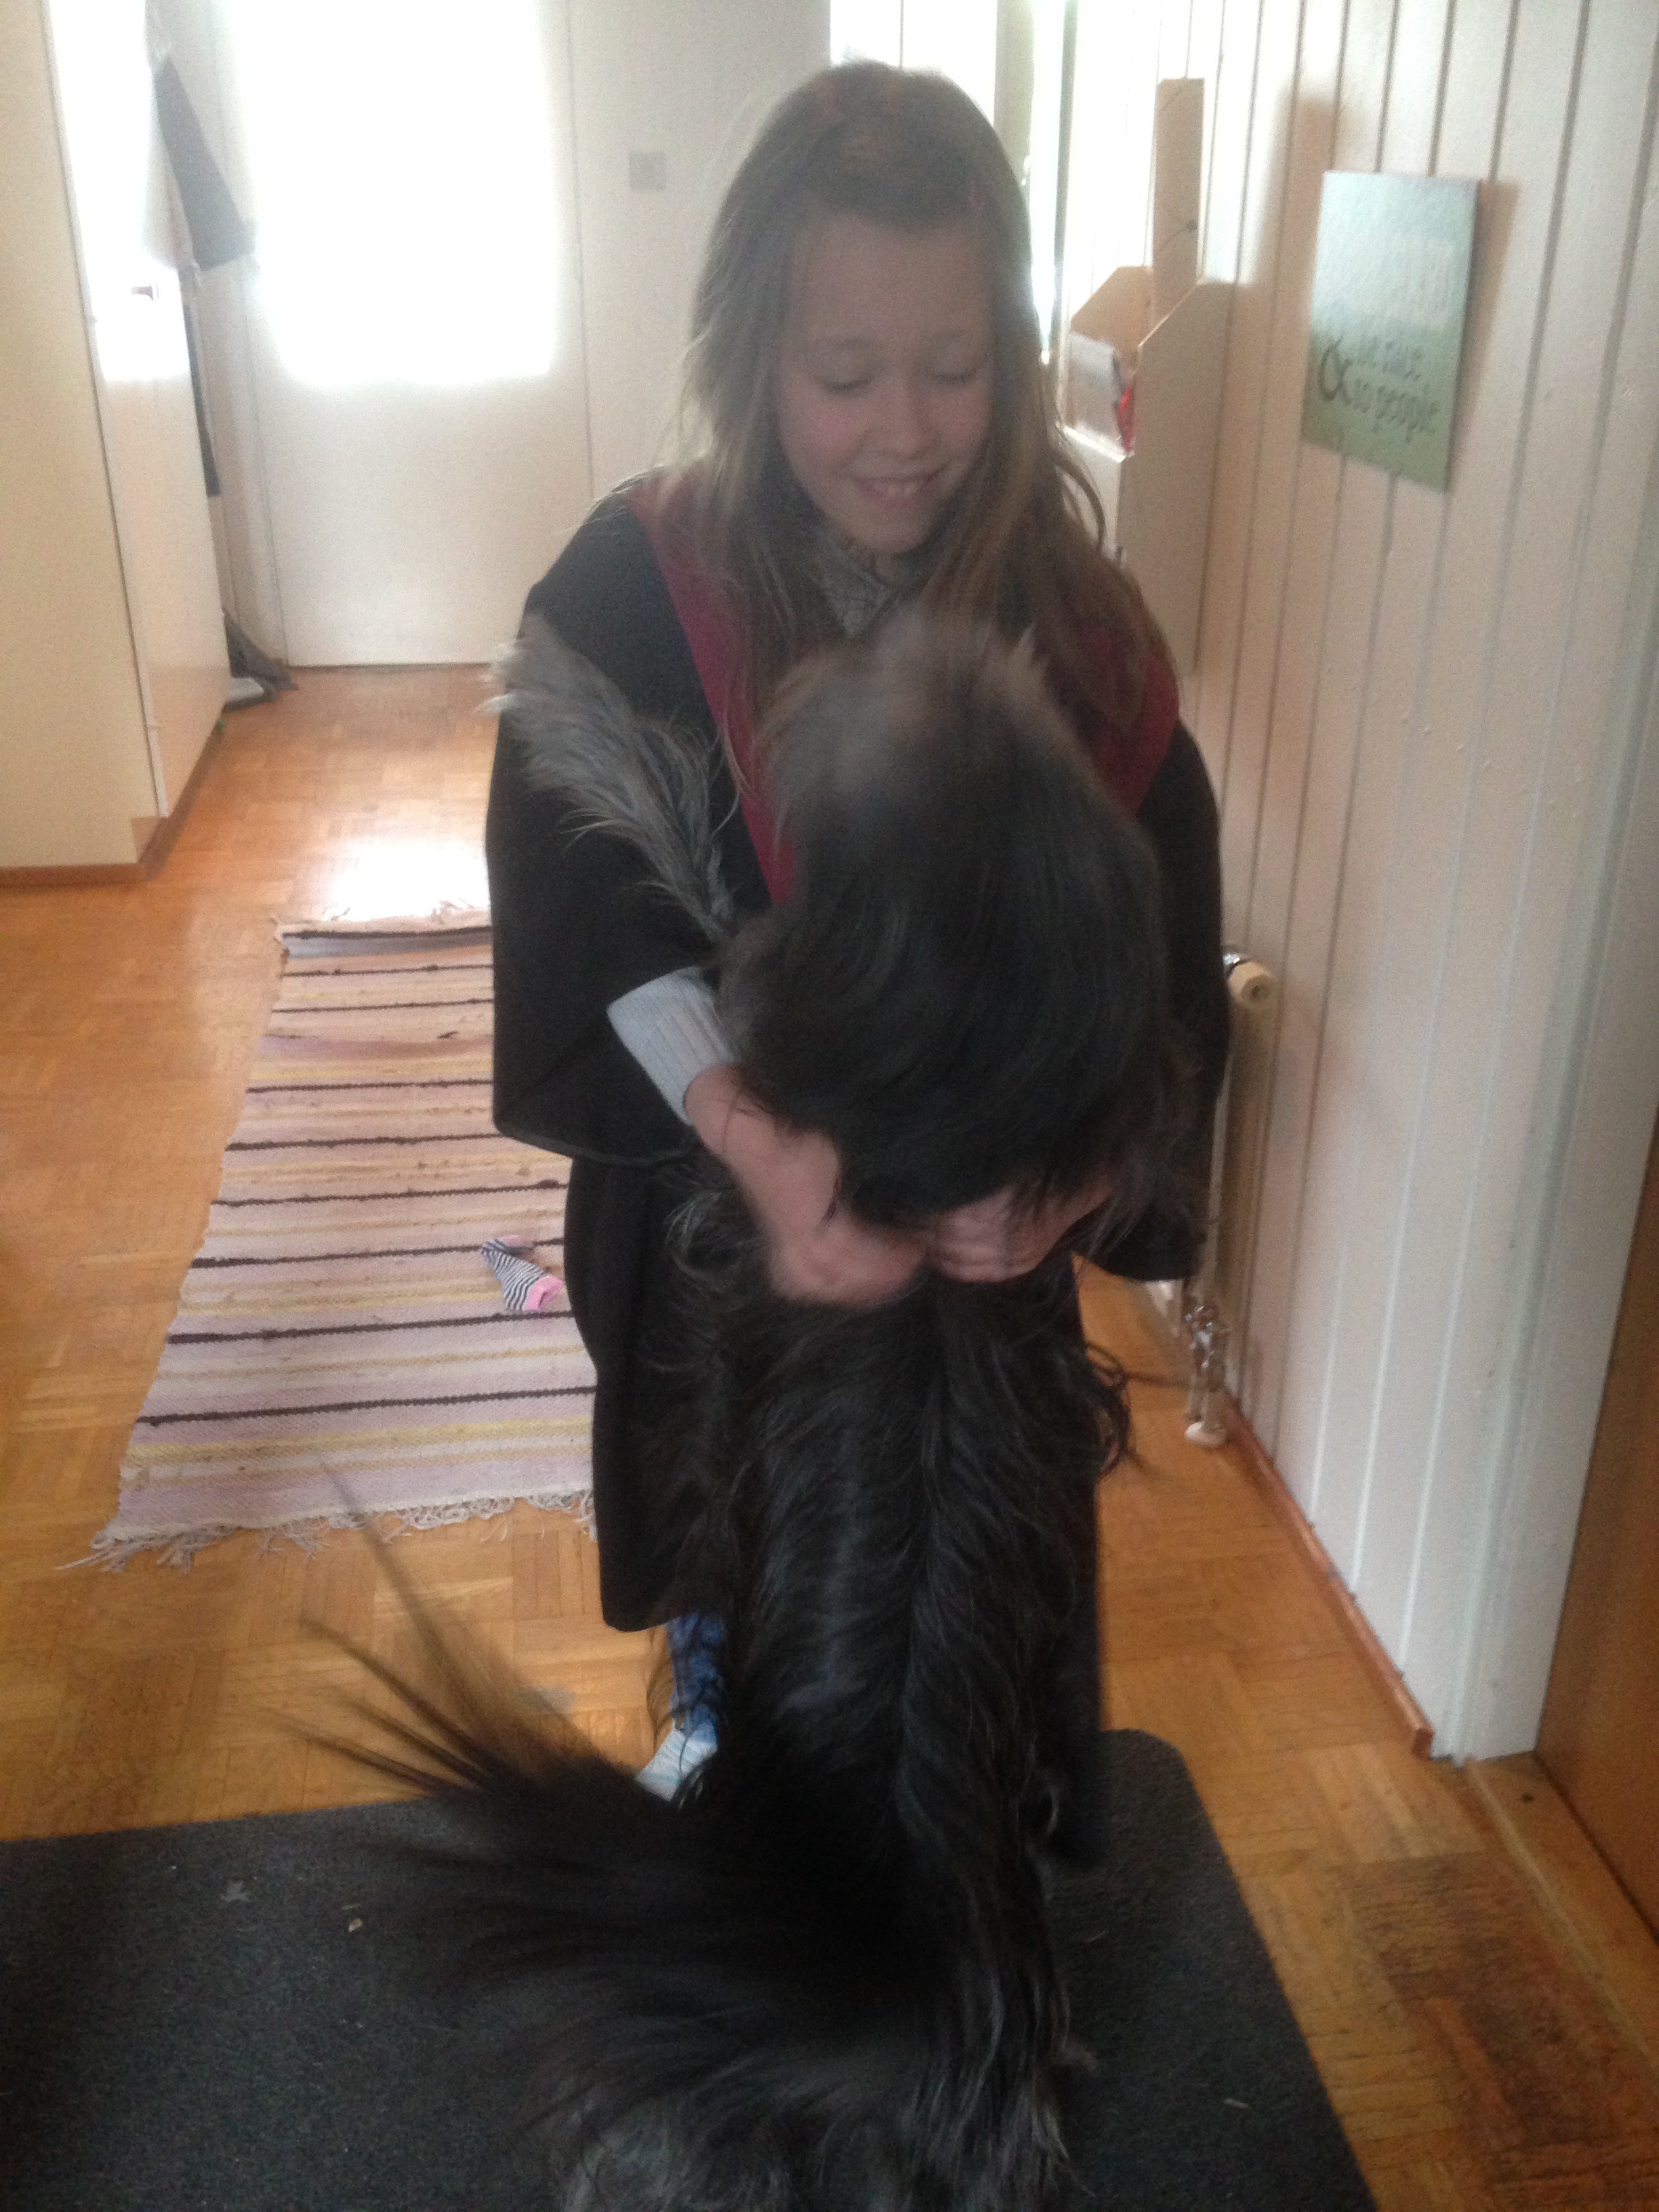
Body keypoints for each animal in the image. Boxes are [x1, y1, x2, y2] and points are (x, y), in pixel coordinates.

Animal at [335, 617, 1187, 2210]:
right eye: (1028, 747)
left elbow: (678, 849)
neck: (956, 1106)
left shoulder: (746, 1030)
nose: (935, 639)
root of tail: (894, 1988)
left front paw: (565, 700)